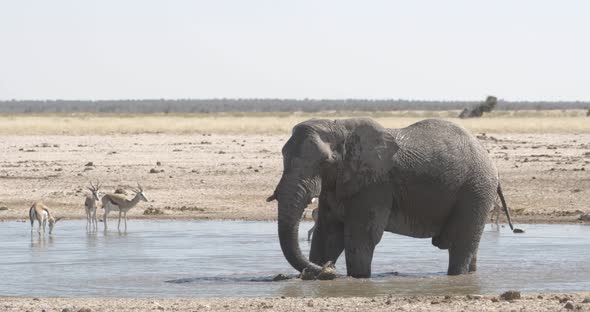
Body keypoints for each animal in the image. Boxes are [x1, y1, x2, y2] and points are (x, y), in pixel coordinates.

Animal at [270, 117, 520, 278]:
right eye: (282, 156)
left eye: (325, 162)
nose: (329, 269)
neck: (339, 126)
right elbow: (327, 234)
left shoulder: (376, 184)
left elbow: (362, 236)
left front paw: (357, 279)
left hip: (475, 190)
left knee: (460, 245)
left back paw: (456, 277)